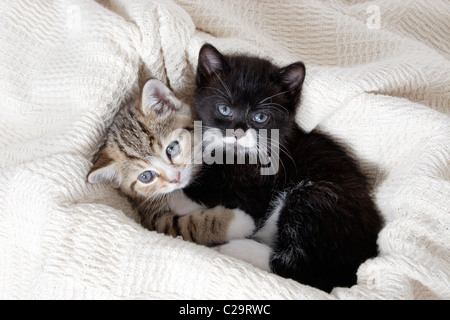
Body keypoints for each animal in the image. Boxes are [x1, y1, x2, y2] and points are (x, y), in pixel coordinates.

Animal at [87, 79, 255, 245]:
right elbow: (186, 226)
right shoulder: (153, 218)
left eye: (172, 148)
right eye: (146, 177)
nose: (176, 178)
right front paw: (238, 223)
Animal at [184, 43, 384, 292]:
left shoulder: (258, 190)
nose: (238, 133)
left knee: (304, 270)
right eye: (224, 109)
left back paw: (233, 248)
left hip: (318, 197)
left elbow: (218, 195)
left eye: (260, 117)